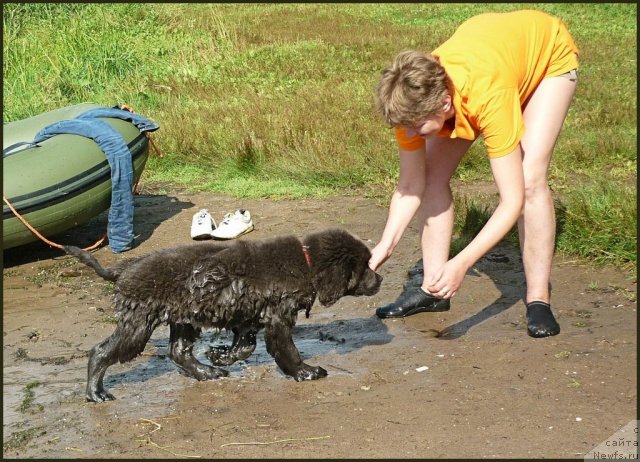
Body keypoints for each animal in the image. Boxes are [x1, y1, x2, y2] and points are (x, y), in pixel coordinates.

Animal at [65, 229, 382, 402]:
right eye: (365, 265)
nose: (379, 279)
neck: (306, 263)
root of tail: (124, 269)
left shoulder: (247, 318)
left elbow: (245, 347)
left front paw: (219, 356)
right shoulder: (278, 318)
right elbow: (287, 352)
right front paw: (306, 372)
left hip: (183, 318)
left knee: (178, 352)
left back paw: (208, 372)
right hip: (138, 323)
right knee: (101, 351)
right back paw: (95, 392)